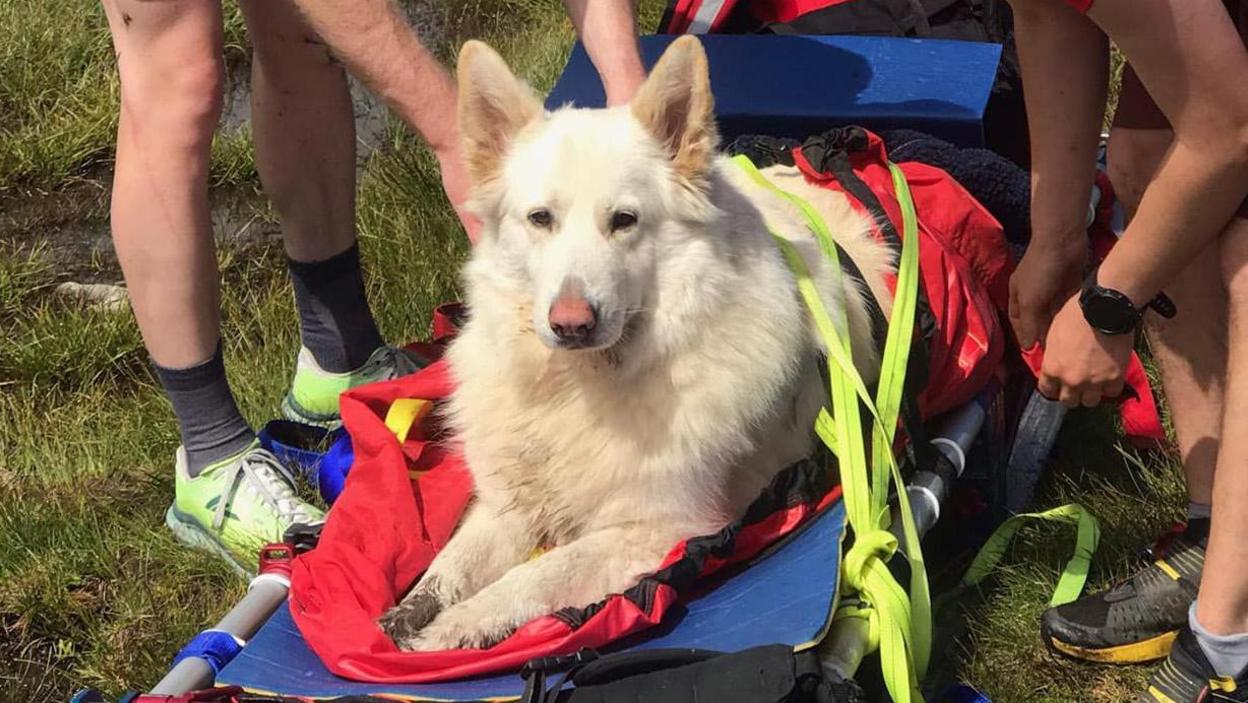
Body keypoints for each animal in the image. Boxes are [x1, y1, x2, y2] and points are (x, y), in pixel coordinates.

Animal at [374, 34, 893, 649]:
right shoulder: (507, 504)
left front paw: (455, 628)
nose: (572, 323)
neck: (576, 390)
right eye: (540, 219)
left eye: (624, 220)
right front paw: (413, 611)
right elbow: (452, 564)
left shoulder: (659, 529)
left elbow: (537, 575)